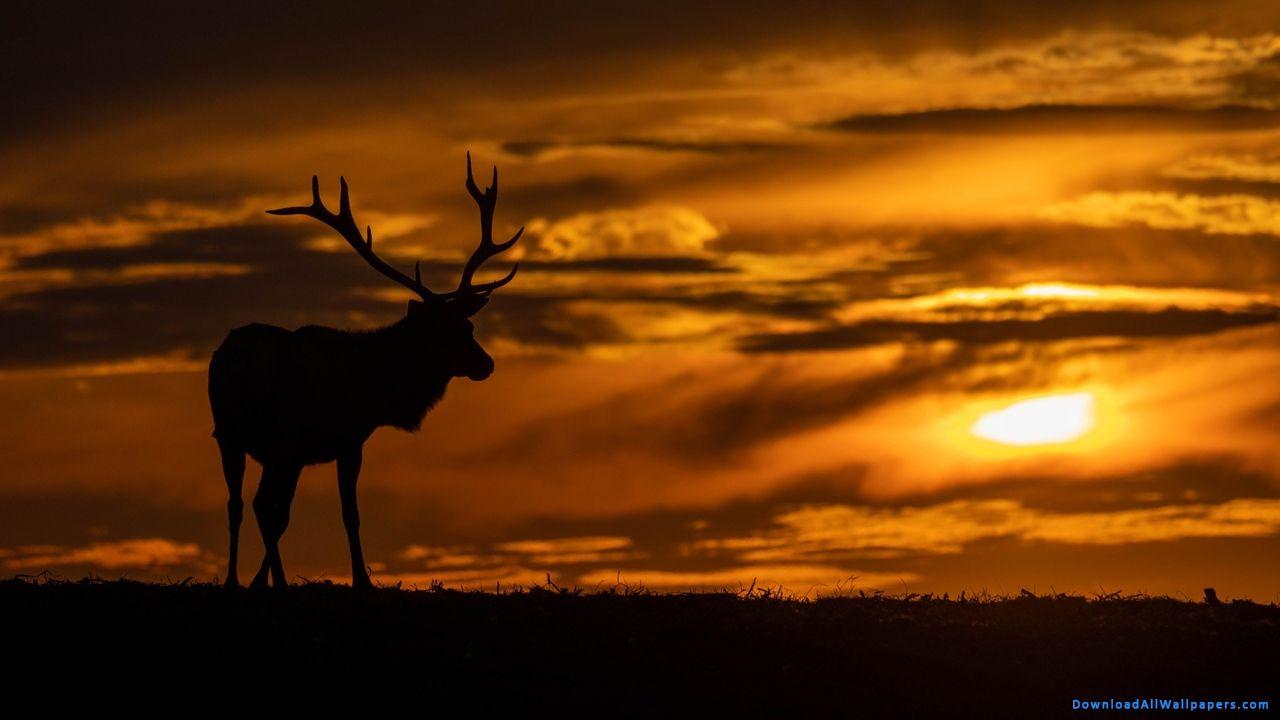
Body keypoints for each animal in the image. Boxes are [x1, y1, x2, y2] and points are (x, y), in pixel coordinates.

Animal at [208, 153, 521, 590]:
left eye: (469, 324)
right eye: (450, 332)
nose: (486, 363)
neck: (376, 390)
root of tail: (231, 362)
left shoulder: (301, 453)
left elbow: (287, 514)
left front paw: (259, 581)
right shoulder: (347, 439)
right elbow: (348, 513)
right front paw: (362, 580)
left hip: (235, 436)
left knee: (239, 504)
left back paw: (235, 580)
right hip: (275, 437)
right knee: (259, 505)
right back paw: (275, 582)